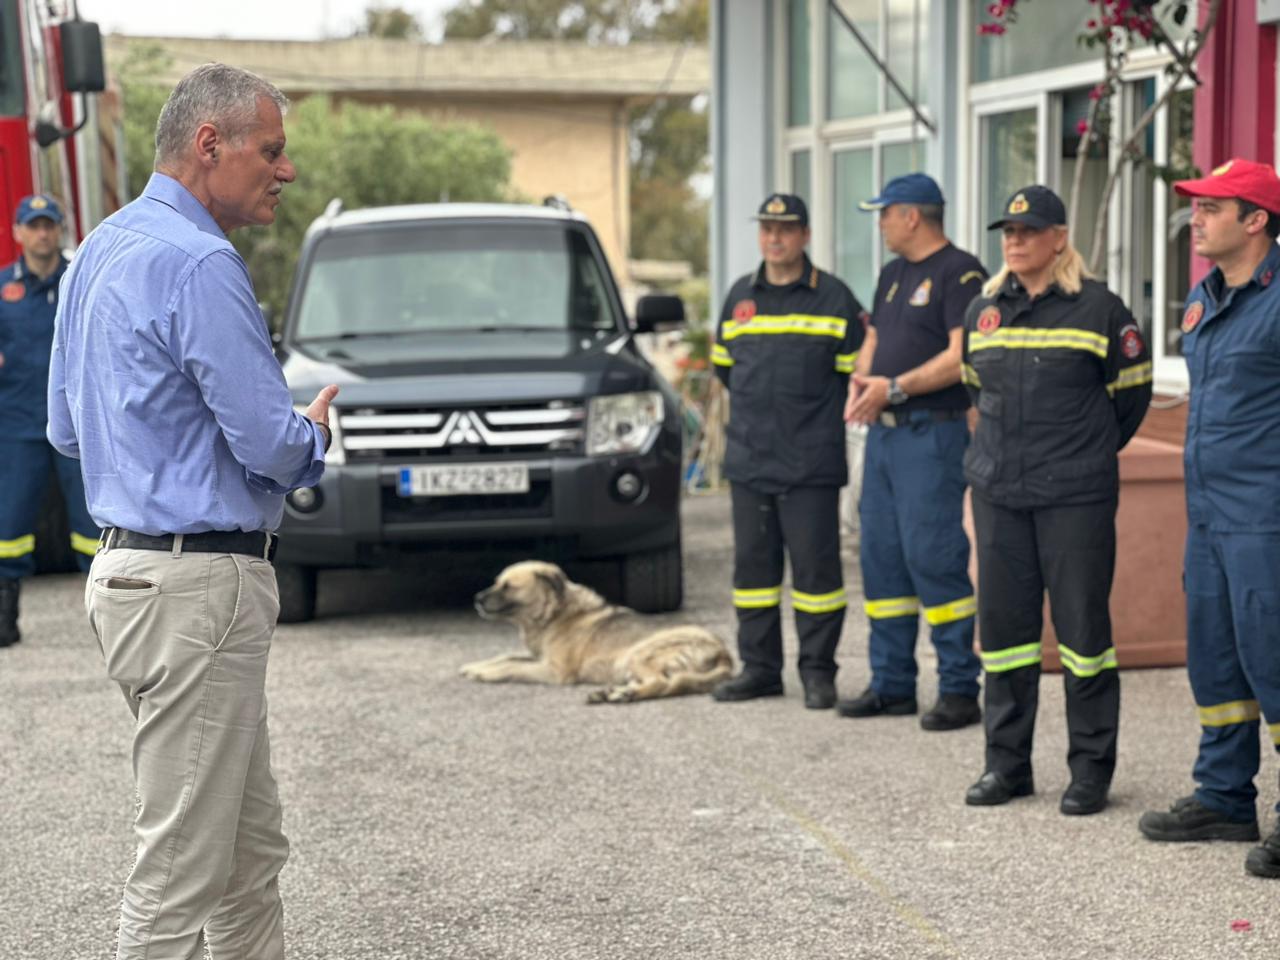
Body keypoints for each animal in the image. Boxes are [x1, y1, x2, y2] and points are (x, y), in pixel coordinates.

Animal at [465, 560, 737, 701]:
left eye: (509, 586)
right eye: (497, 582)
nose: (476, 599)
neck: (554, 614)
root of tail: (723, 652)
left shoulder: (554, 671)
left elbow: (512, 666)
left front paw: (485, 673)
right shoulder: (538, 657)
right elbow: (507, 656)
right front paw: (475, 666)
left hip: (638, 654)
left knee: (662, 683)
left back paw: (625, 694)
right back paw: (617, 692)